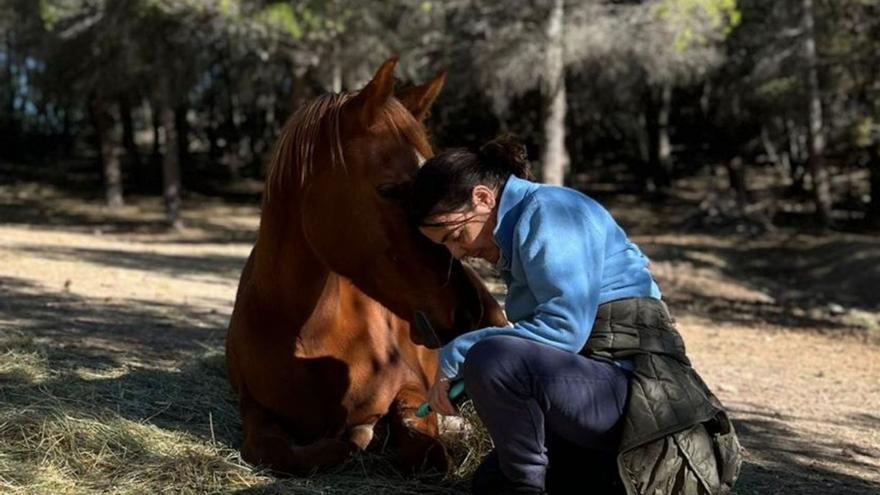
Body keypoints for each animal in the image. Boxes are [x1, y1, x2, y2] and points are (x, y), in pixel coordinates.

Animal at [225, 56, 508, 474]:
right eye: (390, 190)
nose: (467, 310)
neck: (305, 335)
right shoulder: (253, 407)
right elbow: (271, 449)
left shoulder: (410, 386)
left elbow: (422, 448)